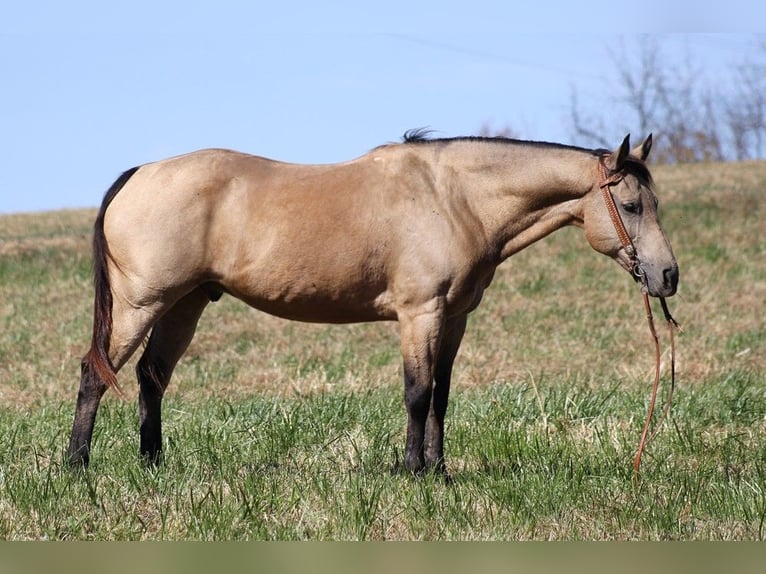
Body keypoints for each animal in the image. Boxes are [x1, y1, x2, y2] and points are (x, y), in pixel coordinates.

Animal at [64, 132, 680, 476]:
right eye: (630, 204)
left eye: (654, 203)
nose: (668, 275)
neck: (453, 198)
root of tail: (138, 175)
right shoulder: (419, 313)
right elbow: (417, 393)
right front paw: (411, 472)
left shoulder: (454, 319)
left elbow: (441, 397)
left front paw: (440, 472)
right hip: (141, 304)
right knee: (97, 372)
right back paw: (76, 467)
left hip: (185, 305)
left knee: (150, 377)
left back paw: (153, 465)